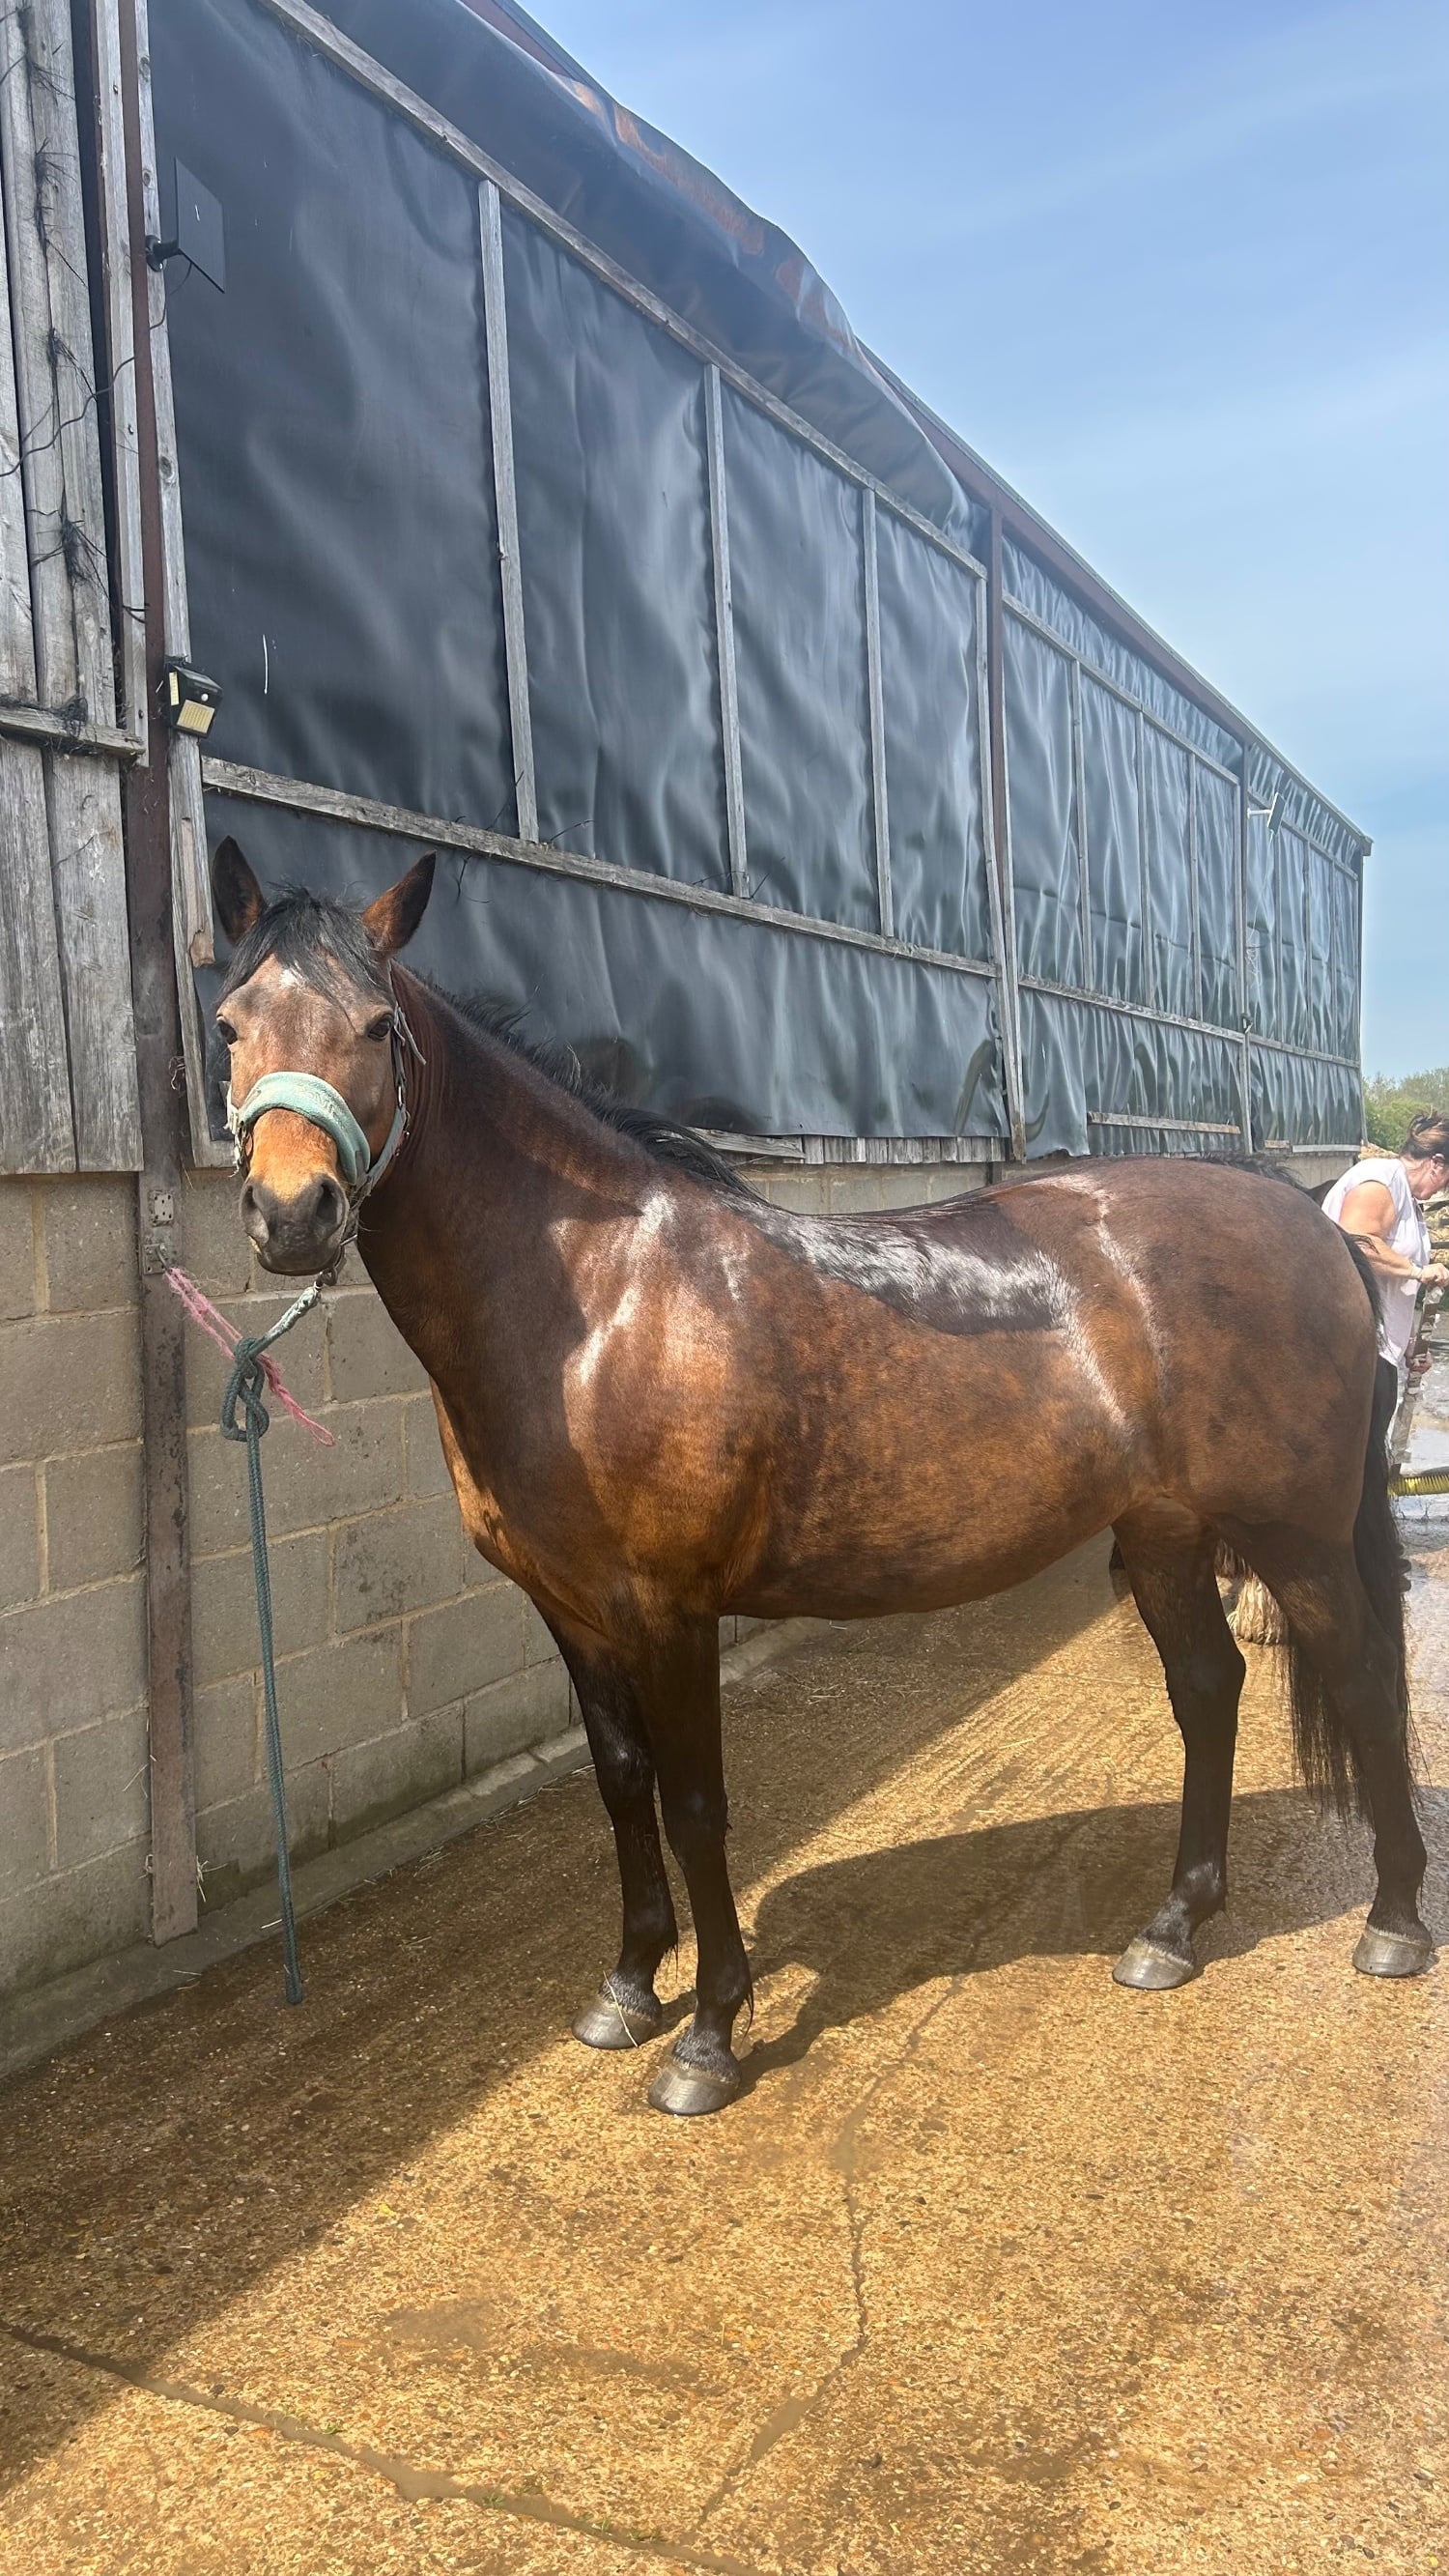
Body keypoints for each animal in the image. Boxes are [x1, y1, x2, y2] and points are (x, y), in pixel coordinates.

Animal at [208, 836, 1431, 2115]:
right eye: (231, 1020)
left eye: (376, 1024)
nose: (293, 1213)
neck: (599, 1299)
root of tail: (1304, 1213)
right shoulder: (570, 1608)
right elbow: (621, 1782)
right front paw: (627, 1987)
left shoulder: (671, 1609)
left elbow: (696, 1805)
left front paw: (708, 2034)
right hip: (1164, 1530)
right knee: (1207, 1687)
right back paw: (1175, 1926)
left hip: (1292, 1535)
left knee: (1363, 1679)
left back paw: (1393, 1919)